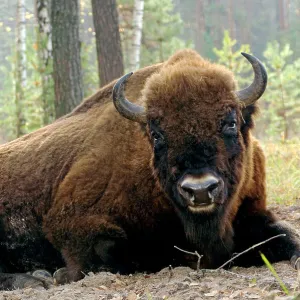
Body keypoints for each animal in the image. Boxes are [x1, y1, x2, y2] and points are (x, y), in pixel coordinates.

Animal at [0, 49, 300, 290]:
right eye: (156, 135)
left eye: (230, 122)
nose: (200, 190)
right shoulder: (73, 222)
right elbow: (115, 254)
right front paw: (60, 274)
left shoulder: (252, 211)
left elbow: (285, 234)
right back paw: (36, 278)